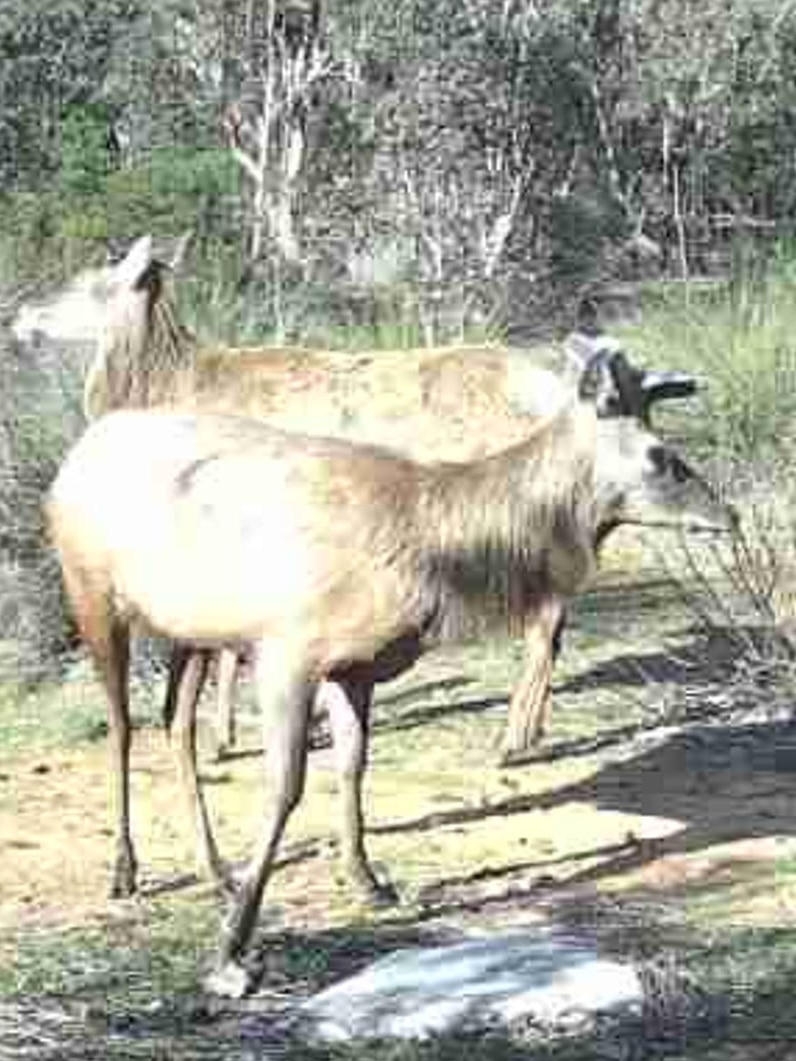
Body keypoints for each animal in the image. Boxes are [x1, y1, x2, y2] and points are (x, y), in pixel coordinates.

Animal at [14, 235, 699, 769]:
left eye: (90, 281)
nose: (20, 315)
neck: (164, 382)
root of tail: (554, 391)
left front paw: (227, 736)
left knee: (548, 618)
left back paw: (514, 739)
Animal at [46, 360, 733, 995]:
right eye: (660, 455)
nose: (724, 515)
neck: (439, 558)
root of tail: (74, 455)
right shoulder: (287, 651)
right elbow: (285, 789)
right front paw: (232, 950)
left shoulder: (356, 668)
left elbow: (353, 766)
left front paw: (366, 878)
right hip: (92, 595)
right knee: (122, 728)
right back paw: (126, 870)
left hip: (190, 631)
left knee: (174, 722)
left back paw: (214, 867)